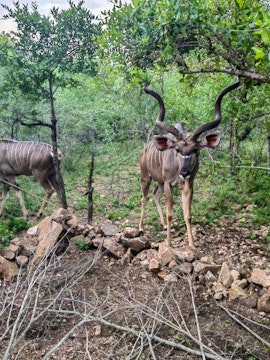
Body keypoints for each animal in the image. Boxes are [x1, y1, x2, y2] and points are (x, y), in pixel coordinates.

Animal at [139, 79, 240, 248]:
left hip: (159, 182)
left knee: (155, 195)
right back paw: (140, 228)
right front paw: (168, 243)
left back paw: (163, 225)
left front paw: (192, 245)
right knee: (144, 198)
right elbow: (170, 214)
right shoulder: (169, 184)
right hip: (146, 177)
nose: (185, 173)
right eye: (177, 149)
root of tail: (145, 149)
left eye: (195, 150)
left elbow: (188, 214)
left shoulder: (188, 185)